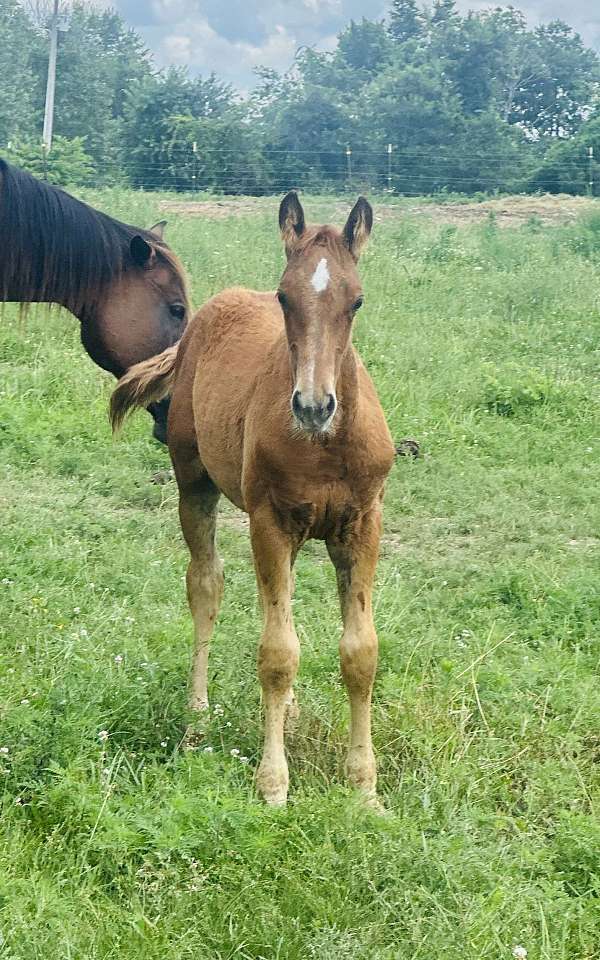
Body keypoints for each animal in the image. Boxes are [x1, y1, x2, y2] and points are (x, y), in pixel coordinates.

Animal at [110, 191, 395, 807]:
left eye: (357, 300)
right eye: (284, 297)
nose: (313, 406)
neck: (324, 445)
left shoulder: (362, 524)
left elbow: (360, 652)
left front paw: (365, 790)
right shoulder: (269, 522)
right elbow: (277, 654)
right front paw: (273, 784)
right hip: (194, 482)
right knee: (205, 585)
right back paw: (196, 718)